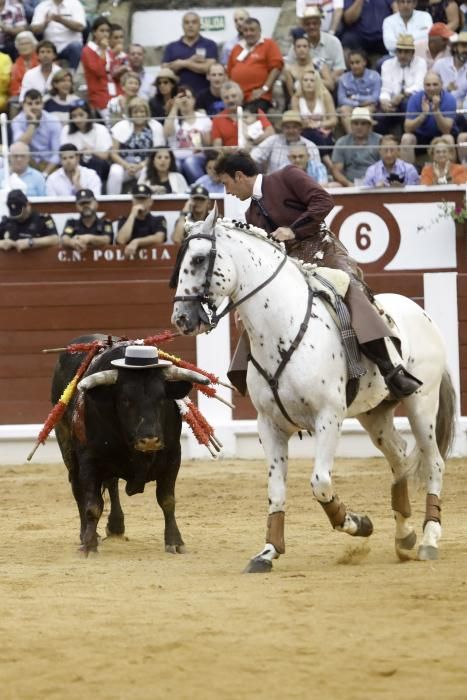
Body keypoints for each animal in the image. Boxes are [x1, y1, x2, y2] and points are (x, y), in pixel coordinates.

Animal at [50, 336, 208, 556]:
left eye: (162, 399)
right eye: (125, 400)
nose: (149, 440)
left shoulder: (173, 456)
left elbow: (167, 500)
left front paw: (175, 542)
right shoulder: (89, 460)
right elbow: (92, 505)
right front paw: (89, 545)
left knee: (112, 484)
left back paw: (116, 526)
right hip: (68, 451)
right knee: (78, 490)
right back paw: (86, 534)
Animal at [171, 208, 458, 576]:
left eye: (199, 258)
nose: (181, 319)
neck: (283, 324)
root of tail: (420, 311)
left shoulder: (328, 417)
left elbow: (320, 482)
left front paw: (358, 523)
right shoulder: (269, 424)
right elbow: (276, 491)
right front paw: (268, 552)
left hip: (422, 403)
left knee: (433, 462)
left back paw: (429, 539)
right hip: (375, 414)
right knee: (400, 458)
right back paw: (404, 535)